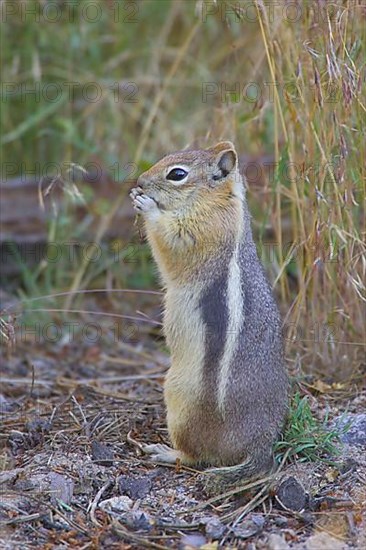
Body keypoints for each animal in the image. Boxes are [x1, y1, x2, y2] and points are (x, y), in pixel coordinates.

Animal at [130, 140, 288, 486]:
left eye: (177, 174)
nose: (140, 182)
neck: (219, 201)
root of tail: (259, 444)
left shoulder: (199, 232)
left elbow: (171, 242)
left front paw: (146, 205)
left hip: (179, 400)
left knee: (197, 456)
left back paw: (166, 452)